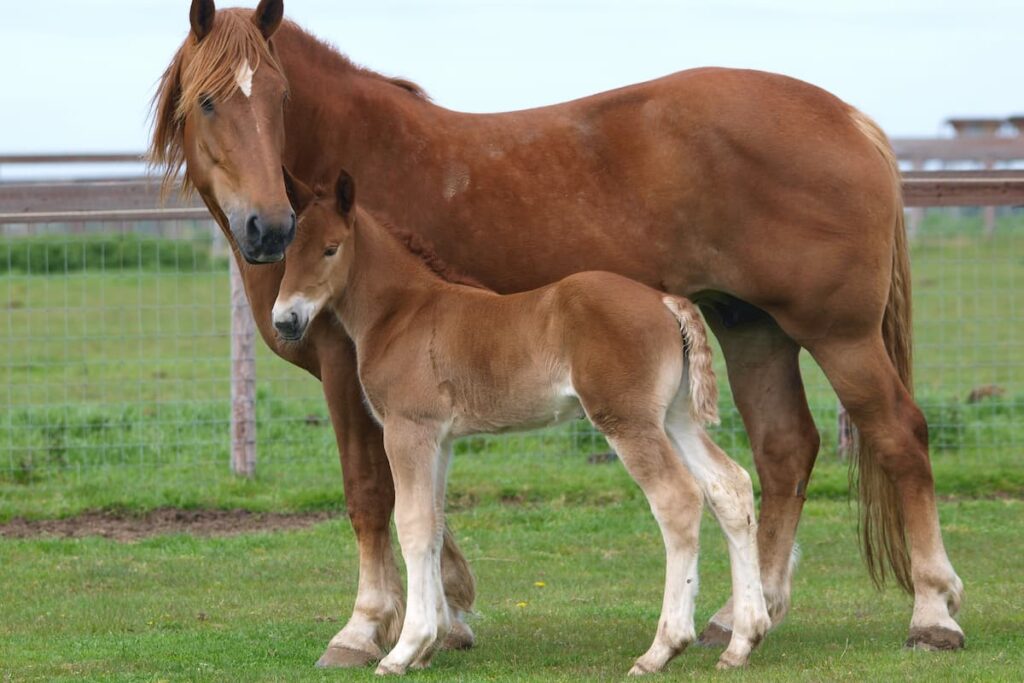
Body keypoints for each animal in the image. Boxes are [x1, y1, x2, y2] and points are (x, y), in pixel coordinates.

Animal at [272, 169, 770, 671]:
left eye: (331, 248)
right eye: (288, 251)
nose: (285, 320)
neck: (403, 312)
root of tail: (666, 301)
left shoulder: (407, 429)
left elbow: (412, 526)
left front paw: (405, 649)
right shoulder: (441, 439)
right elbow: (434, 525)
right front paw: (429, 646)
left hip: (628, 420)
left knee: (677, 499)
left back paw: (662, 649)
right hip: (674, 418)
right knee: (729, 486)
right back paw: (742, 641)